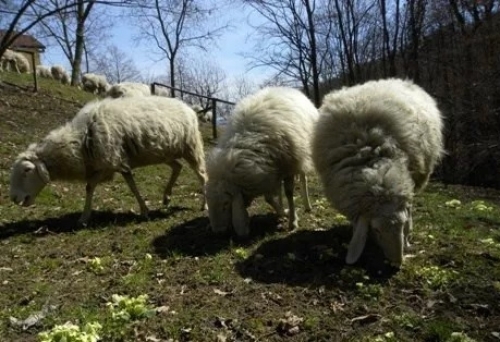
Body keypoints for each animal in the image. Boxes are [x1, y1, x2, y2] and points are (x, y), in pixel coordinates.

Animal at [9, 95, 209, 227]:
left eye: (27, 170)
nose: (14, 198)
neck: (81, 140)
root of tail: (188, 107)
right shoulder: (113, 163)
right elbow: (108, 186)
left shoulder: (113, 161)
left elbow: (102, 186)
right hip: (164, 152)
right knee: (178, 167)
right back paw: (166, 197)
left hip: (191, 147)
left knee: (202, 176)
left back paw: (204, 205)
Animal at [205, 86, 318, 238]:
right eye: (208, 204)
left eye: (226, 204)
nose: (218, 232)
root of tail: (285, 88)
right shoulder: (268, 171)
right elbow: (269, 198)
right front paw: (283, 212)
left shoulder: (288, 165)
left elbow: (289, 193)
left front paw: (293, 221)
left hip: (302, 154)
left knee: (303, 179)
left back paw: (307, 205)